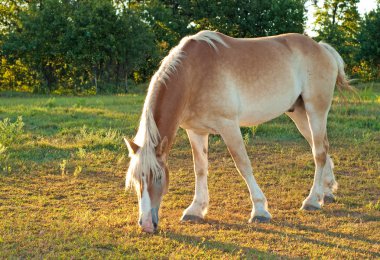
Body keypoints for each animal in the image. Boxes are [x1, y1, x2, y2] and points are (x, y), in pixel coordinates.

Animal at [124, 30, 350, 234]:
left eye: (158, 177)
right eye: (136, 180)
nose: (146, 224)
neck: (194, 74)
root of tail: (322, 48)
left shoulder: (229, 126)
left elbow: (243, 165)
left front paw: (260, 210)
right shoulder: (196, 132)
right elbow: (200, 169)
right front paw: (196, 209)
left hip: (315, 110)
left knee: (319, 153)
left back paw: (312, 200)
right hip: (300, 114)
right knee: (321, 147)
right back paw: (326, 192)